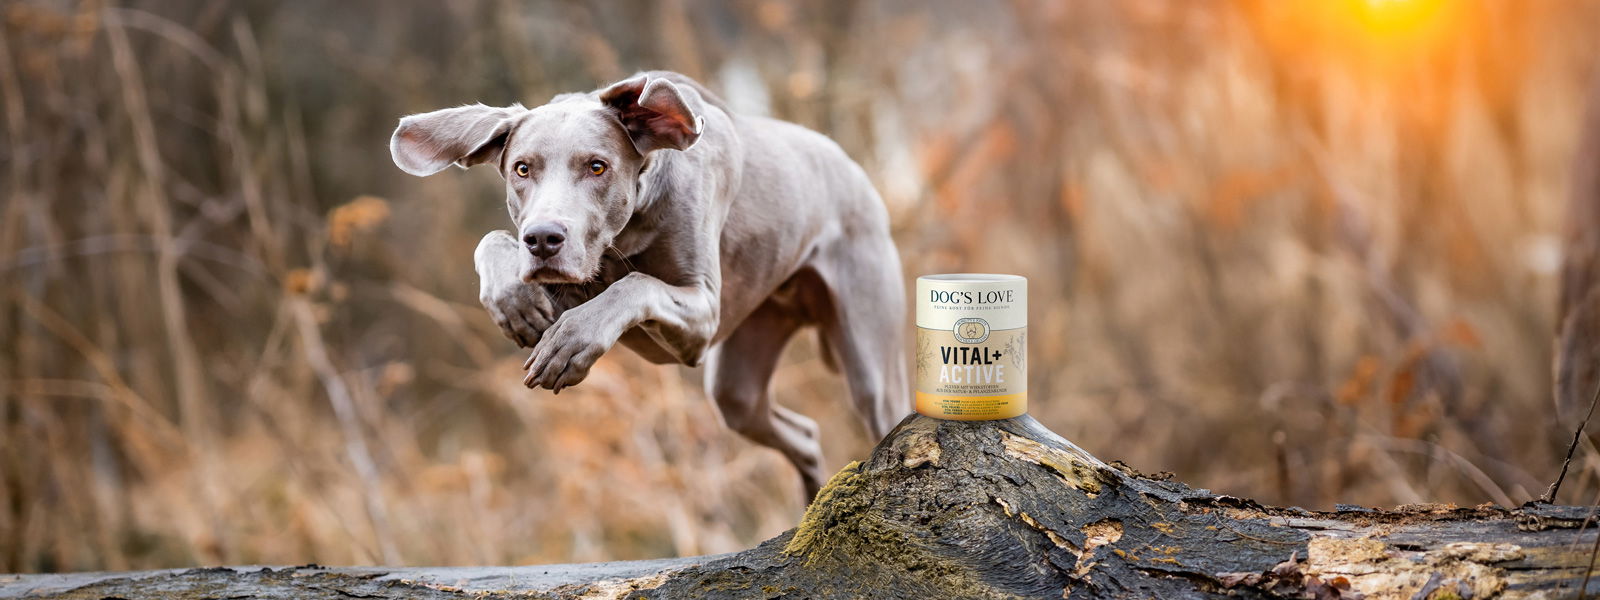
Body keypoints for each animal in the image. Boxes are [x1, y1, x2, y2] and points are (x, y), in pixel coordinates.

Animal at [388, 72, 908, 499]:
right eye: (522, 168)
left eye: (597, 166)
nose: (542, 239)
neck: (626, 230)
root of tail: (849, 164)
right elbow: (492, 241)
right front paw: (515, 301)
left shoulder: (702, 314)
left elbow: (637, 283)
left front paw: (570, 344)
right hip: (738, 384)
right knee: (800, 433)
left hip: (869, 357)